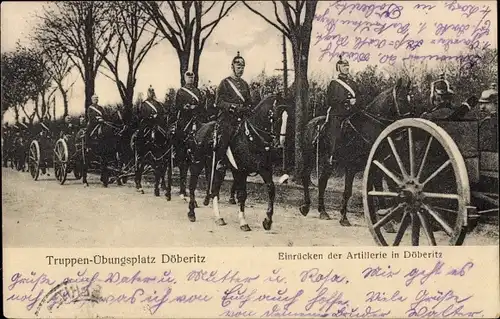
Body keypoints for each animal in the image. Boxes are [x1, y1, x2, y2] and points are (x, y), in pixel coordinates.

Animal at [187, 95, 290, 232]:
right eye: (276, 118)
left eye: (288, 118)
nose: (280, 145)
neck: (251, 138)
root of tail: (200, 127)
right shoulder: (240, 171)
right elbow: (242, 195)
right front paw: (243, 222)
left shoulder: (265, 169)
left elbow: (271, 189)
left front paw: (267, 221)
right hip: (197, 162)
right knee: (193, 184)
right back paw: (191, 213)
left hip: (216, 167)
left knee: (214, 189)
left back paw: (218, 217)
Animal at [298, 78, 412, 226]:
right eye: (401, 99)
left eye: (410, 99)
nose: (408, 123)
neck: (367, 129)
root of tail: (310, 123)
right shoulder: (351, 167)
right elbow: (348, 191)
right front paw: (344, 218)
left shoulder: (375, 168)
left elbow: (378, 189)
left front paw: (385, 219)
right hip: (310, 157)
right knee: (306, 176)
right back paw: (306, 207)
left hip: (328, 162)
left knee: (322, 181)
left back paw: (322, 211)